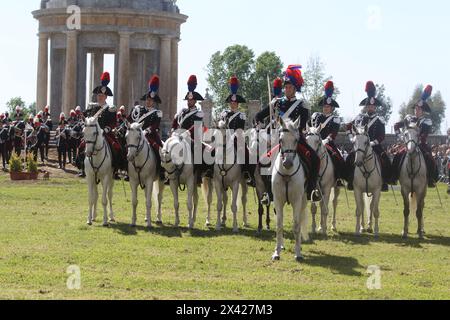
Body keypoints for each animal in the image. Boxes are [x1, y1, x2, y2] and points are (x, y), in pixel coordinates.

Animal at [270, 119, 310, 262]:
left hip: (303, 202)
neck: (287, 174)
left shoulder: (297, 201)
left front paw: (298, 253)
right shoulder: (278, 201)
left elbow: (297, 226)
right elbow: (279, 225)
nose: (287, 163)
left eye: (296, 140)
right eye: (281, 140)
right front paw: (276, 252)